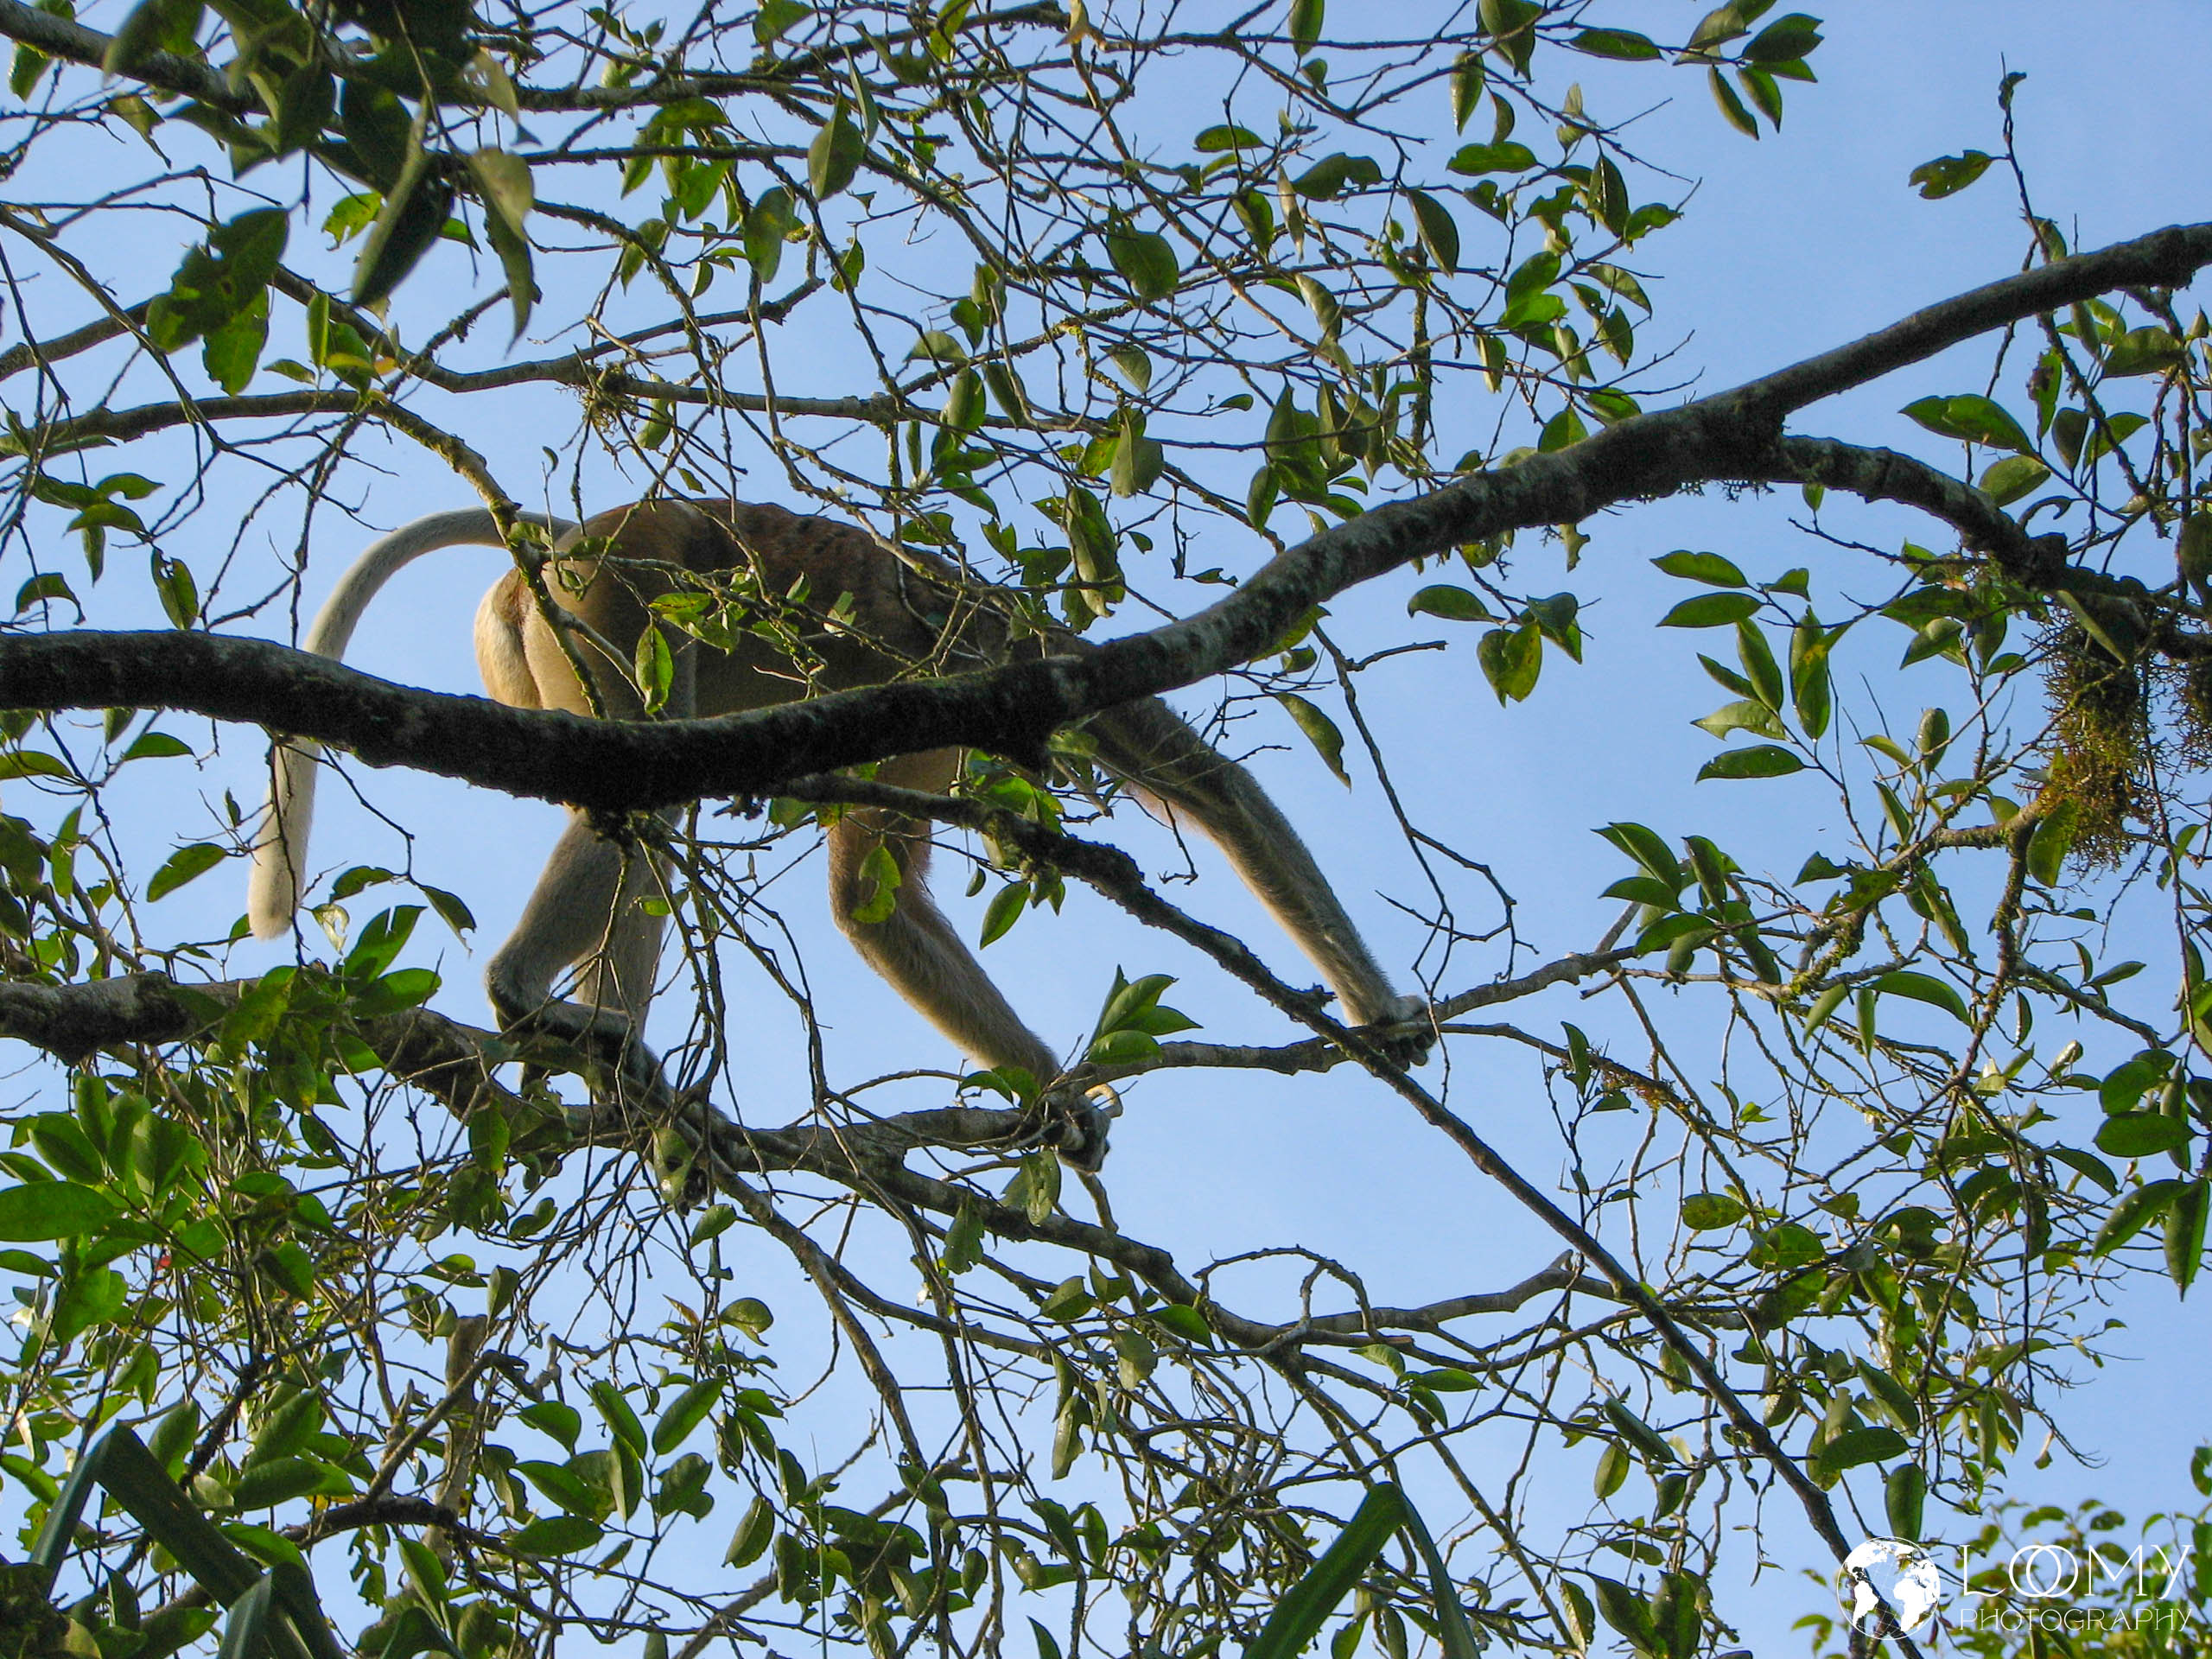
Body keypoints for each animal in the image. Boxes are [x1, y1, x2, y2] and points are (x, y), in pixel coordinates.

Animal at [247, 499, 1425, 1166]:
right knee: (642, 787)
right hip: (616, 599)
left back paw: (618, 1069)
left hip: (538, 641)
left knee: (636, 811)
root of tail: (560, 541)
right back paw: (533, 1004)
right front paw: (1382, 1011)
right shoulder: (988, 664)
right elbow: (1210, 788)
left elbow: (886, 899)